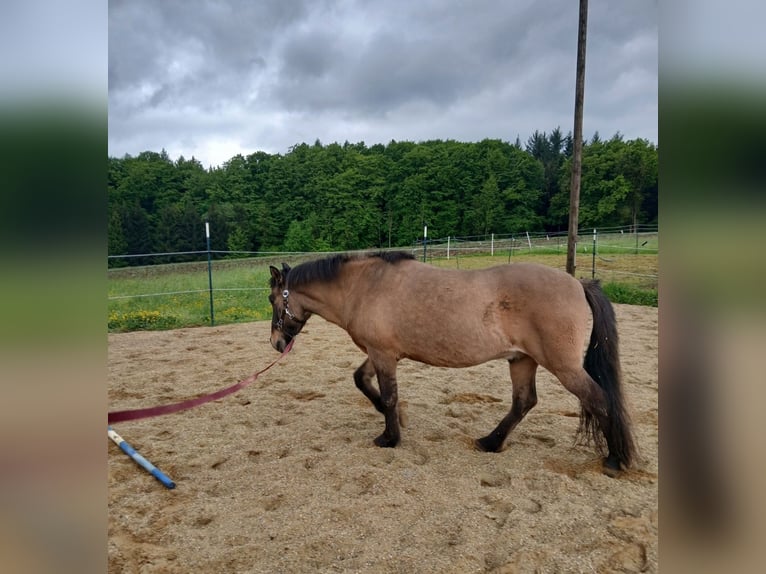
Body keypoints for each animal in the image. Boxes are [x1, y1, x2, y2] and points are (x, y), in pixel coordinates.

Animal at [267, 251, 636, 476]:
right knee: (524, 402)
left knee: (599, 400)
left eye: (272, 299)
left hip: (563, 367)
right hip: (522, 360)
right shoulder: (380, 354)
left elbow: (388, 395)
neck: (364, 286)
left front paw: (389, 437)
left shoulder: (383, 355)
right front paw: (395, 418)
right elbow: (362, 380)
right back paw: (490, 442)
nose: (276, 343)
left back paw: (614, 459)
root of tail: (578, 283)